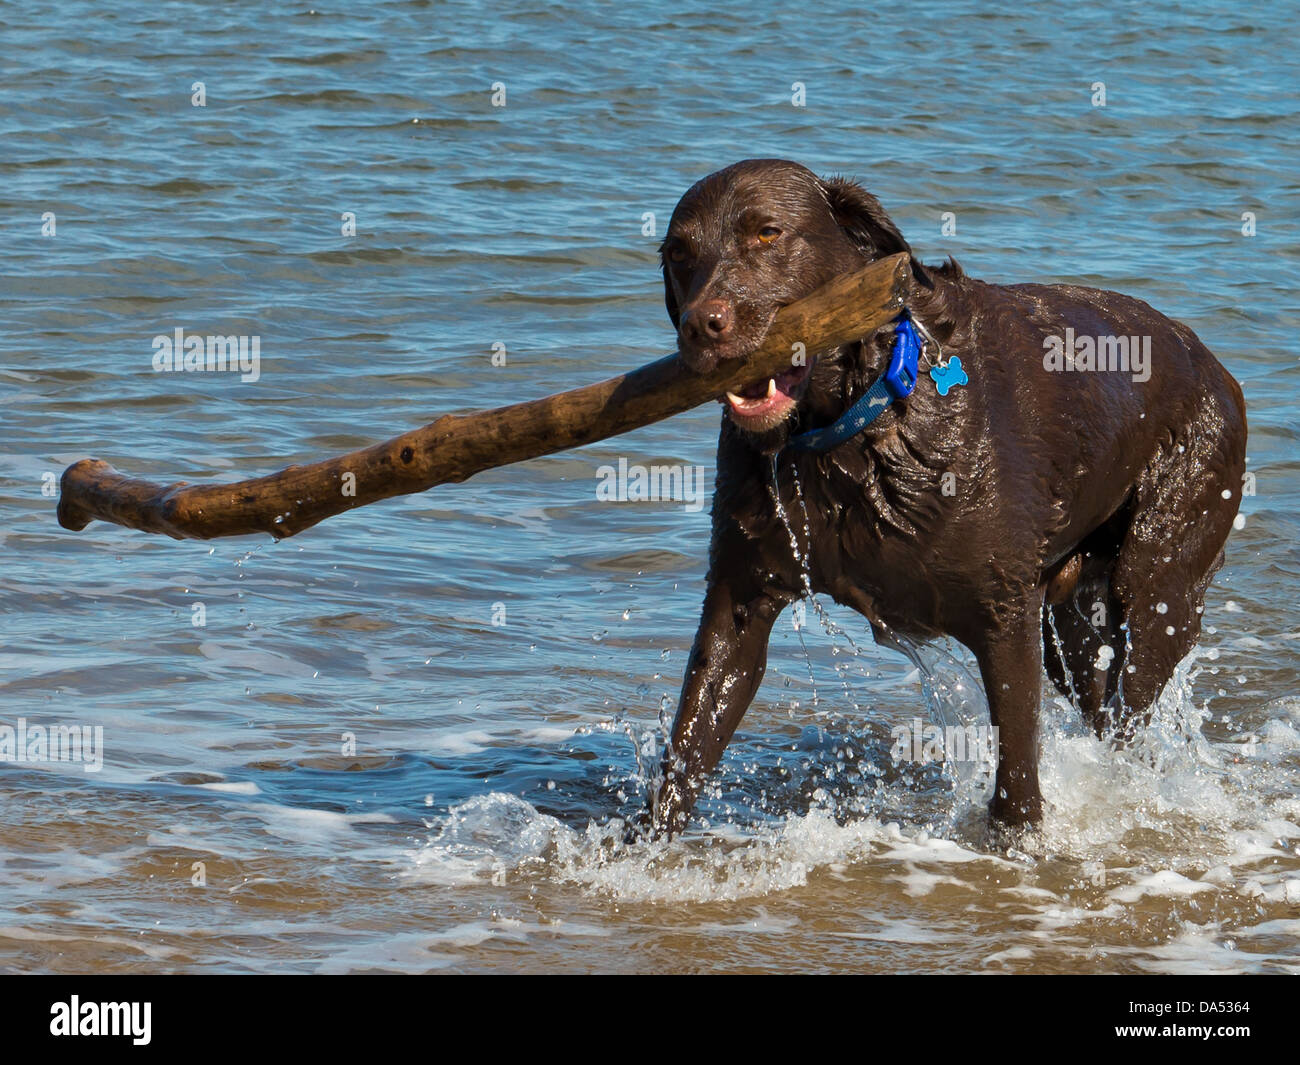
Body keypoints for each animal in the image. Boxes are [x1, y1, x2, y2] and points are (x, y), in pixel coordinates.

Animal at [642, 157, 1248, 842]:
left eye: (767, 233)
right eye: (679, 254)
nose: (702, 324)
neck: (855, 425)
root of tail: (1218, 368)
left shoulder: (1004, 615)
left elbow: (1017, 767)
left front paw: (1018, 844)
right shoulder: (739, 597)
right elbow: (693, 738)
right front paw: (641, 849)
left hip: (1160, 576)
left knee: (1135, 691)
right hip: (1070, 621)